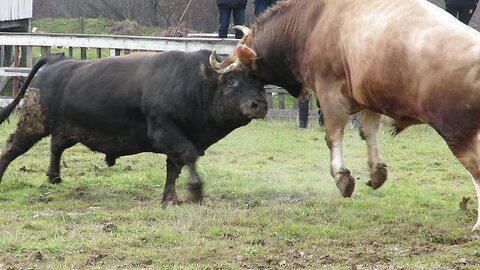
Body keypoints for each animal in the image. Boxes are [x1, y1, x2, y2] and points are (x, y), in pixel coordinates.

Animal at [0, 49, 268, 204]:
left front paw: (170, 198)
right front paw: (195, 191)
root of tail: (58, 61)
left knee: (56, 145)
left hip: (69, 129)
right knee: (13, 146)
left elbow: (175, 167)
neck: (194, 82)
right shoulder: (166, 131)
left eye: (259, 83)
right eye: (232, 82)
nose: (260, 105)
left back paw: (54, 177)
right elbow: (187, 157)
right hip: (34, 123)